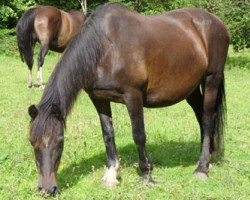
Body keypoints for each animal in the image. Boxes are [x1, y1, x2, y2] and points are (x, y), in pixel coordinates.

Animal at [27, 3, 229, 196]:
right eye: (32, 142)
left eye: (60, 141)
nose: (47, 189)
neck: (106, 47)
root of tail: (218, 23)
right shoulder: (98, 98)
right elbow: (108, 134)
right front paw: (111, 174)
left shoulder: (133, 96)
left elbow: (139, 134)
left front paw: (146, 175)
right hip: (191, 89)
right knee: (201, 116)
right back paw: (209, 157)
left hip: (211, 80)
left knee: (208, 119)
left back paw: (201, 168)